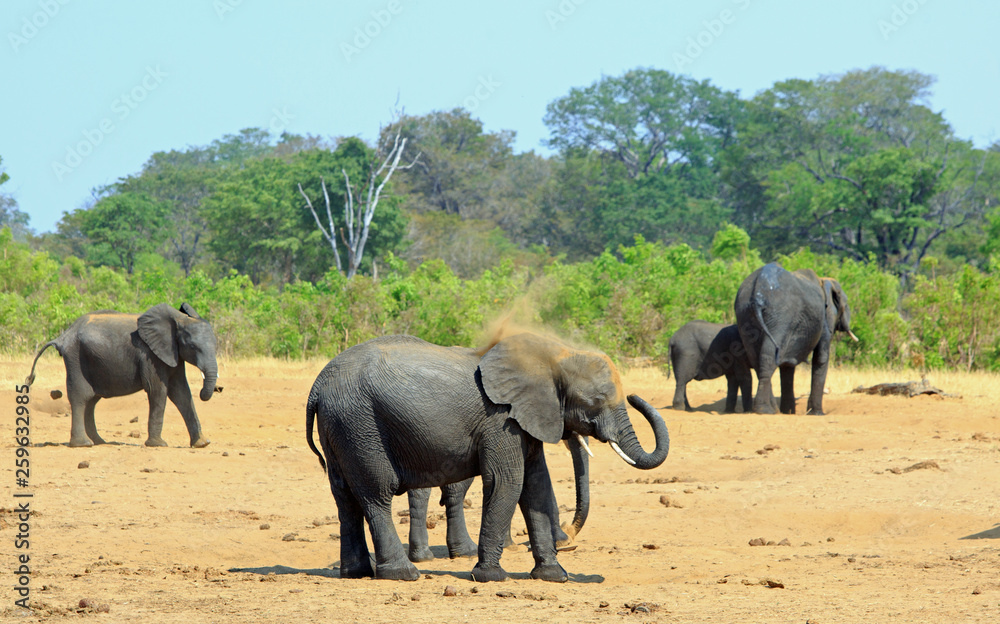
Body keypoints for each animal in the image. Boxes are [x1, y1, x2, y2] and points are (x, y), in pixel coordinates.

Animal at [24, 303, 220, 448]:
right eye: (193, 347)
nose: (214, 389)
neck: (179, 320)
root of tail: (63, 337)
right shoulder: (150, 356)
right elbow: (158, 391)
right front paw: (158, 444)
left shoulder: (173, 355)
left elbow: (182, 393)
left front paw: (202, 444)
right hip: (75, 358)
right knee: (80, 397)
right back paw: (83, 444)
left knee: (91, 400)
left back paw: (100, 442)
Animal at [734, 263, 858, 415]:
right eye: (846, 305)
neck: (823, 280)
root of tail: (758, 291)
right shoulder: (823, 318)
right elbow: (821, 358)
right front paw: (817, 414)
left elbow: (788, 365)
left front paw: (789, 412)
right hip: (780, 316)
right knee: (769, 357)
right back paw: (765, 410)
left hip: (744, 313)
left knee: (757, 359)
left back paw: (774, 410)